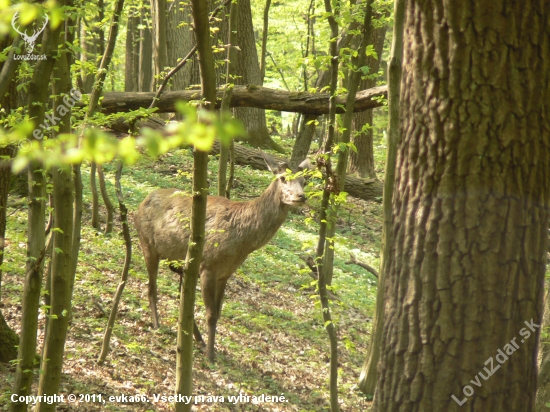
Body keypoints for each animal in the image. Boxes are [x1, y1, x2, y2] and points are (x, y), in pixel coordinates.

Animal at [135, 154, 310, 360]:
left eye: (304, 181)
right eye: (282, 178)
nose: (301, 196)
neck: (243, 242)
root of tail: (141, 203)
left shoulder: (225, 273)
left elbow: (218, 313)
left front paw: (210, 349)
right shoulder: (208, 265)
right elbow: (210, 314)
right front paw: (210, 356)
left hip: (177, 259)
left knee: (181, 297)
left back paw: (196, 339)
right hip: (147, 243)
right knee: (152, 288)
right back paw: (158, 325)